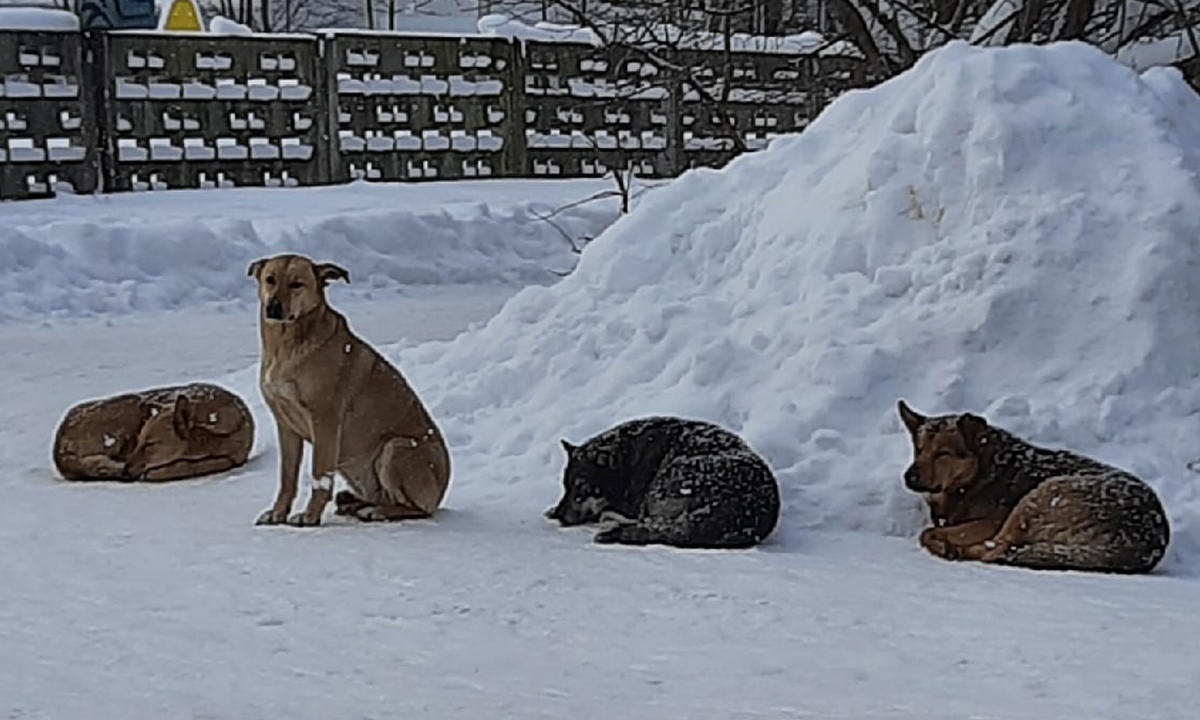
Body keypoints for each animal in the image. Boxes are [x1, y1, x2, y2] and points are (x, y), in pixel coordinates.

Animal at [247, 255, 451, 525]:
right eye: (270, 279)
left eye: (297, 284)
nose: (273, 307)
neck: (286, 344)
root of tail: (441, 492)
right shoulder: (285, 426)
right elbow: (287, 478)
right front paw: (278, 513)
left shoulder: (325, 421)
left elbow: (320, 477)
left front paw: (310, 516)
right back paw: (354, 504)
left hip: (396, 448)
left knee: (419, 509)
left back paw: (377, 511)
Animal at [902, 398, 1171, 573]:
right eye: (919, 450)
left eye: (943, 453)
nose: (909, 476)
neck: (979, 473)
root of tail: (1146, 541)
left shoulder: (988, 523)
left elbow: (928, 532)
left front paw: (942, 544)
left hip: (1041, 495)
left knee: (997, 550)